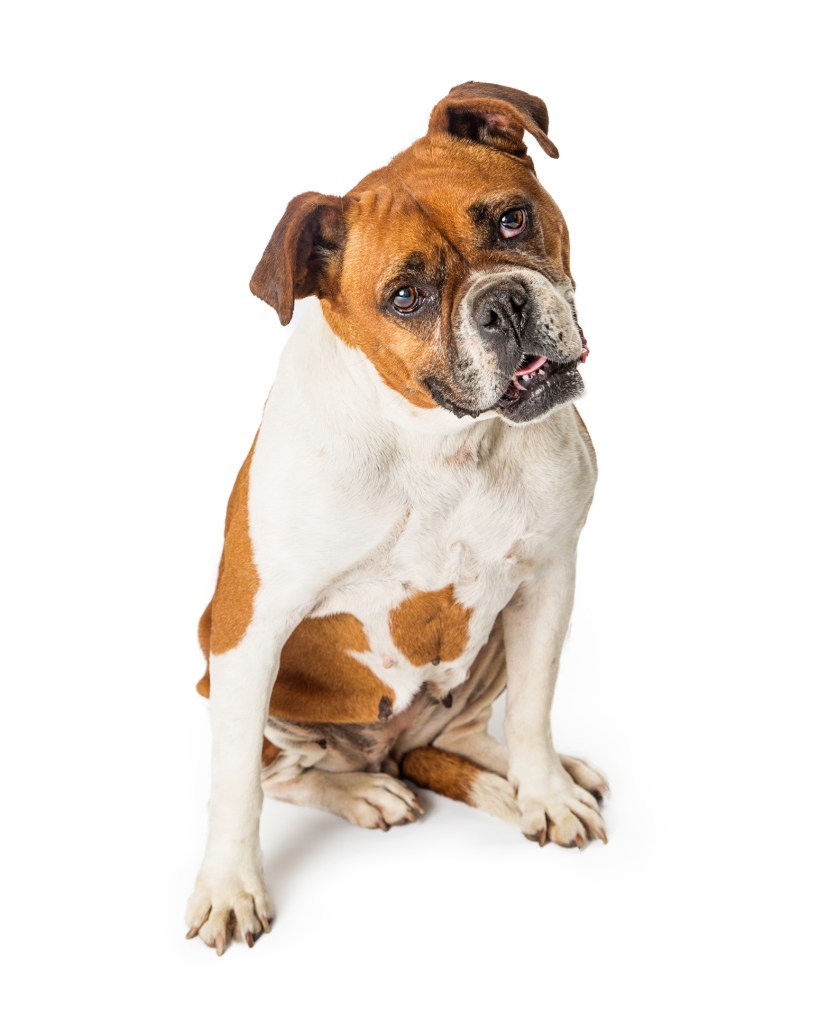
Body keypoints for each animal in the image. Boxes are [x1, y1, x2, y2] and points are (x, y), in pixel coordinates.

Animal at [187, 77, 605, 949]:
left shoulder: (547, 576)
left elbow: (534, 709)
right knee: (293, 773)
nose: (503, 302)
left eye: (512, 219)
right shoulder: (250, 628)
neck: (443, 443)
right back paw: (364, 792)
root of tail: (393, 749)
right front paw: (229, 886)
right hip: (240, 680)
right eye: (406, 297)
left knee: (461, 735)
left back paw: (523, 774)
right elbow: (236, 785)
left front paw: (545, 788)